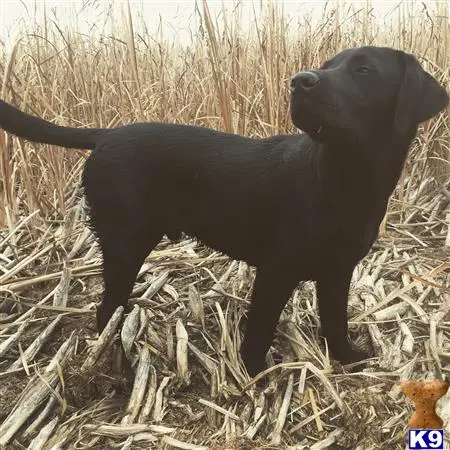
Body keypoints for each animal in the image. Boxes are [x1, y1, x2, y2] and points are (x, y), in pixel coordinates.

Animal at [0, 45, 446, 376]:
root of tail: (106, 135)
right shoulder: (276, 270)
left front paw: (349, 358)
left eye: (364, 70)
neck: (340, 179)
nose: (299, 81)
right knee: (105, 308)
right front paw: (253, 374)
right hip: (126, 241)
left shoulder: (338, 270)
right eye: (325, 67)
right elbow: (260, 328)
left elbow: (335, 320)